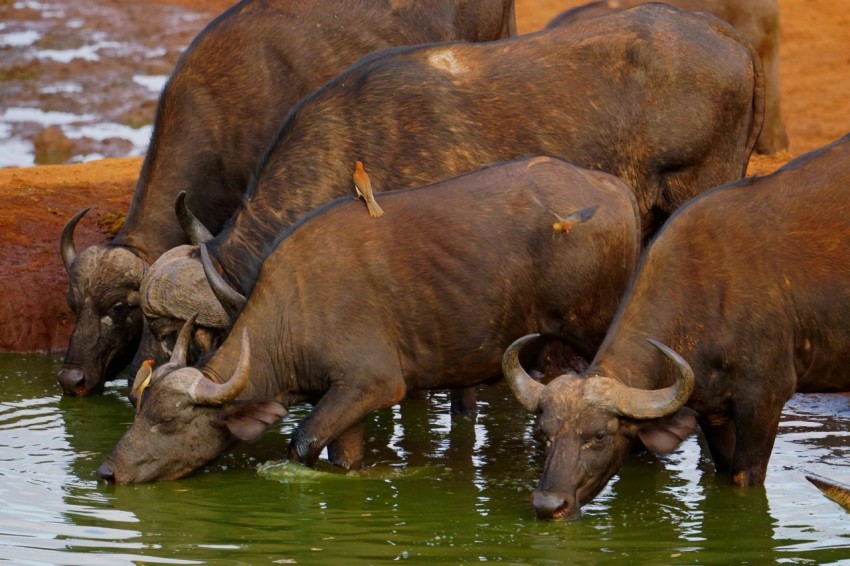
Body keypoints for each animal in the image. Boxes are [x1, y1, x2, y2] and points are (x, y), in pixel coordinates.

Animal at [96, 156, 643, 483]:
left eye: (168, 420)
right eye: (138, 410)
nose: (107, 472)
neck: (294, 309)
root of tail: (614, 189)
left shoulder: (373, 385)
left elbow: (299, 443)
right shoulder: (346, 402)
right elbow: (341, 457)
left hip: (595, 327)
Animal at [502, 133, 850, 520]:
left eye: (599, 435)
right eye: (542, 434)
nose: (549, 505)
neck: (709, 290)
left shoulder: (764, 401)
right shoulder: (714, 414)